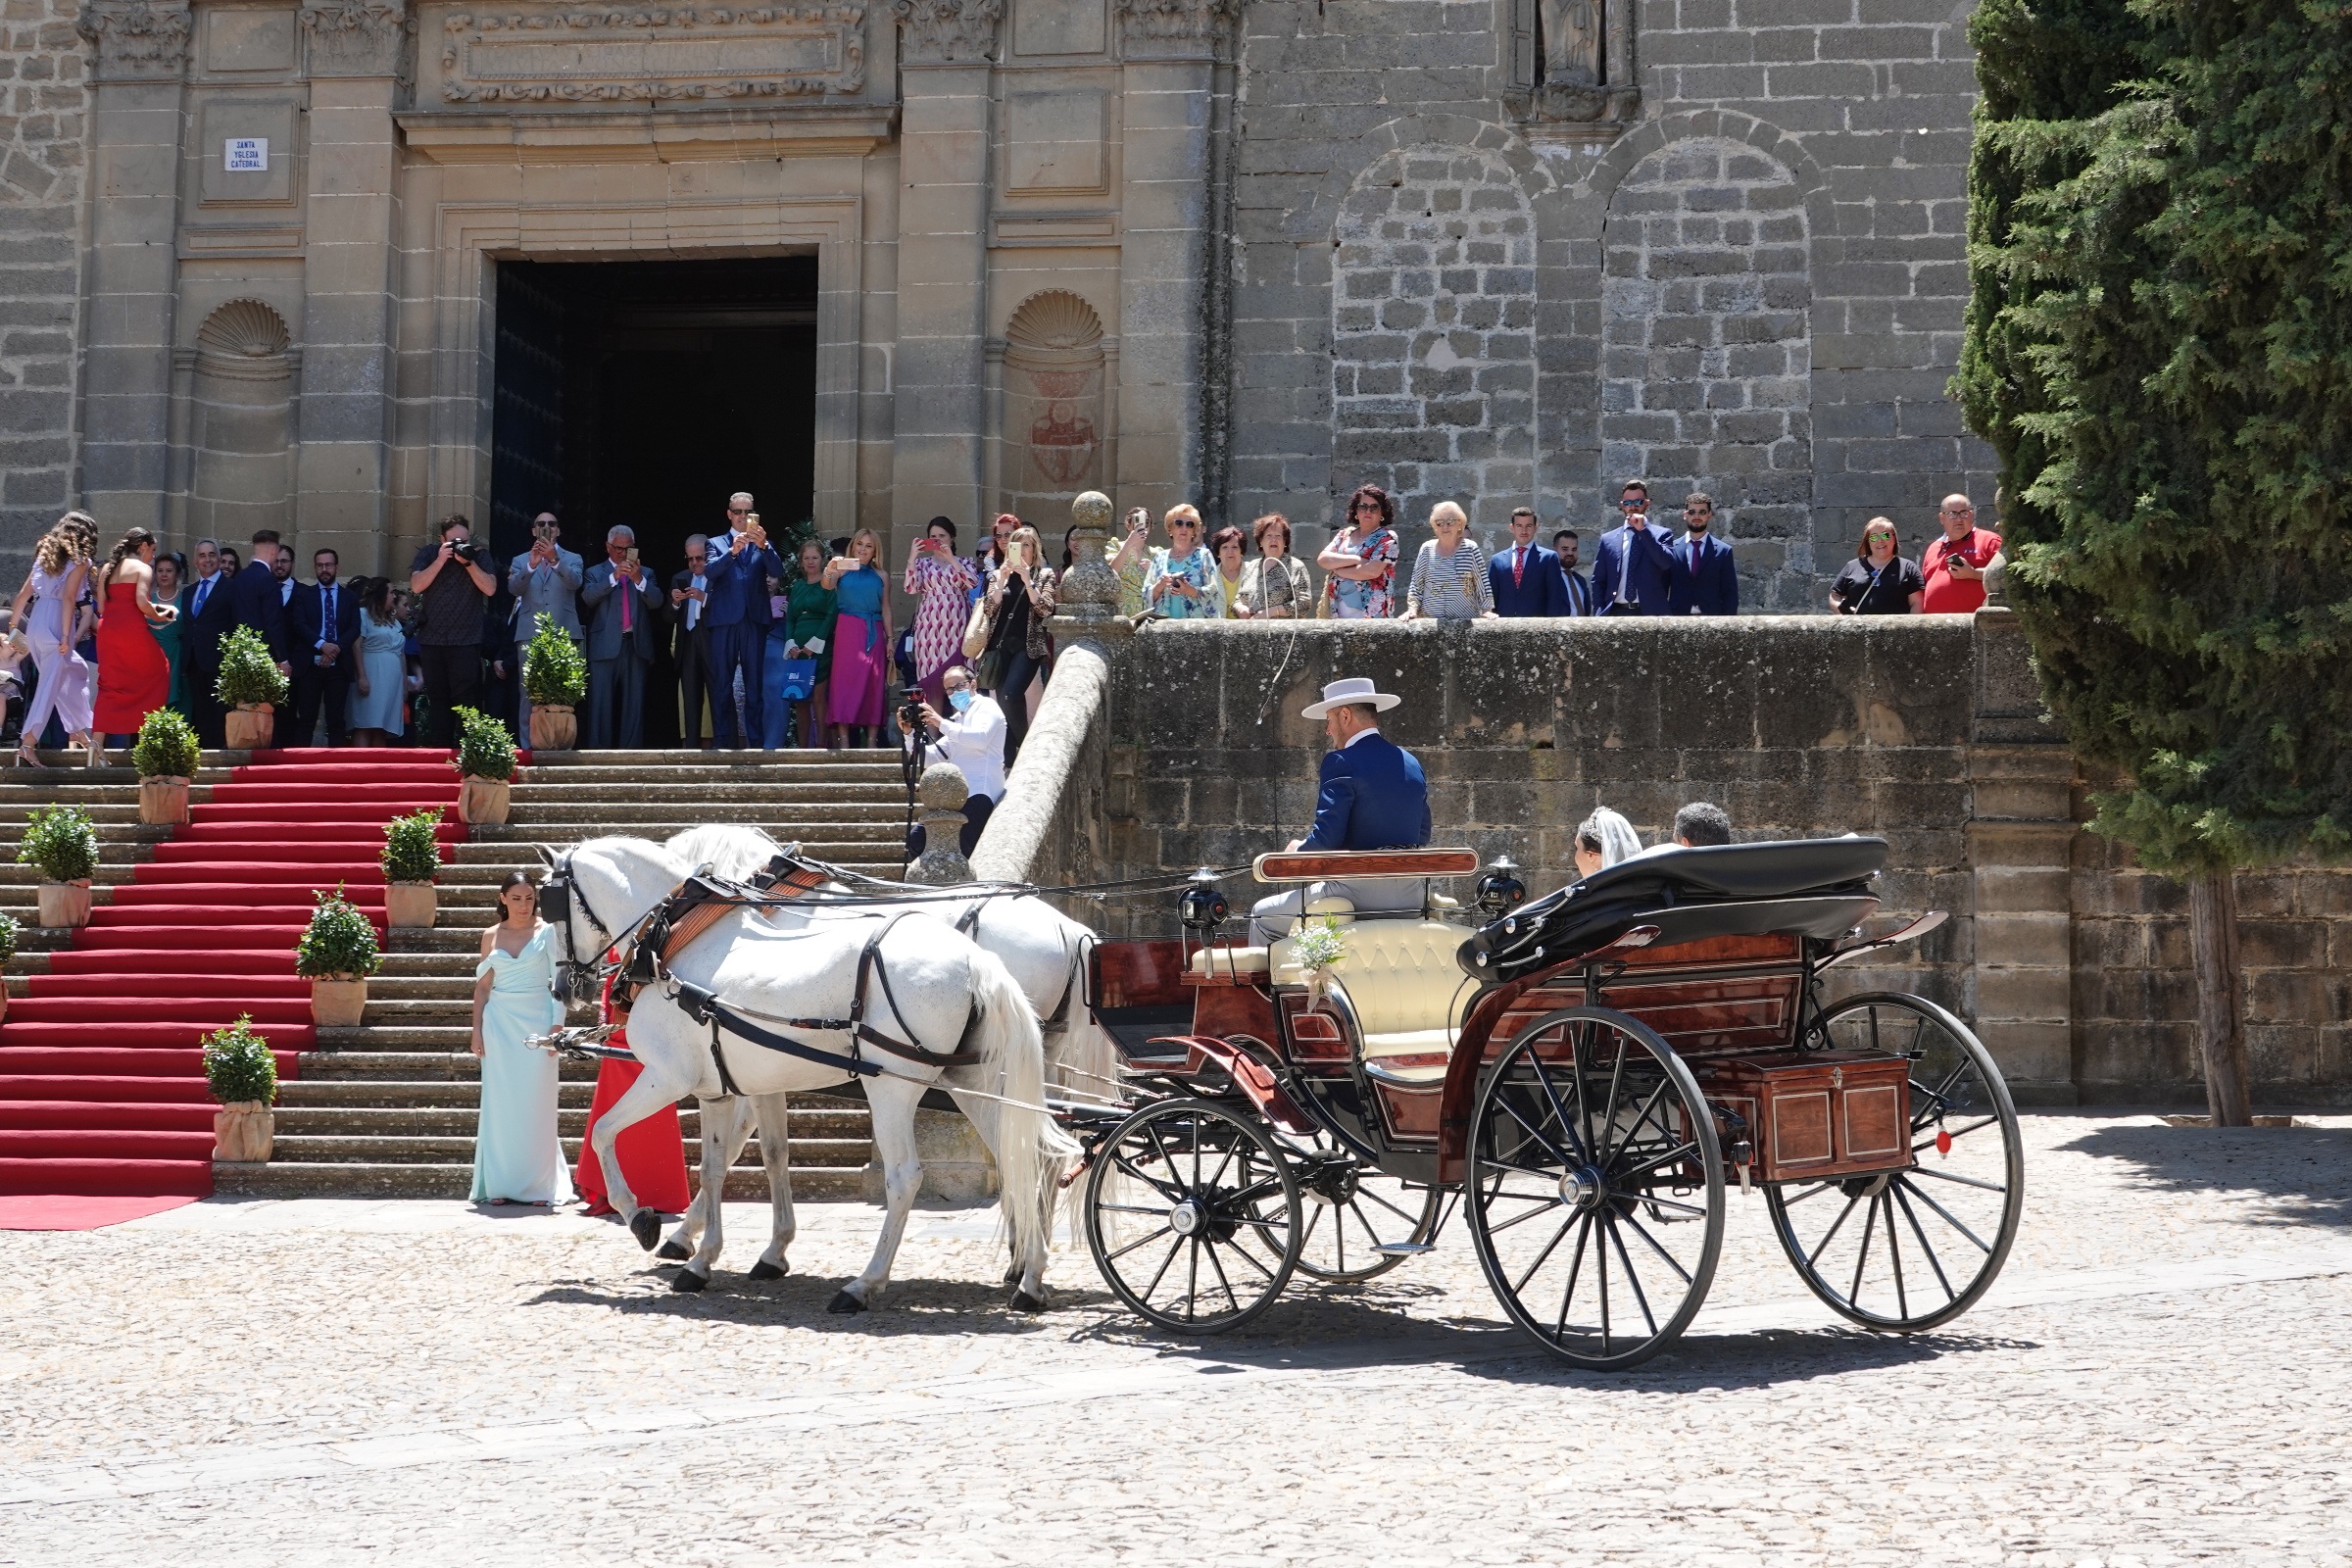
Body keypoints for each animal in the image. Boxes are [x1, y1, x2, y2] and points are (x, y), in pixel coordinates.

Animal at [539, 835, 1077, 1312]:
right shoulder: (731, 1088)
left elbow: (604, 1132)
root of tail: (976, 959)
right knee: (1026, 1154)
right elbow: (729, 1165)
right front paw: (716, 1257)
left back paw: (864, 1284)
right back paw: (1030, 1278)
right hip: (977, 1083)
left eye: (549, 904)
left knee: (906, 1176)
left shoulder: (667, 1076)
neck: (676, 939)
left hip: (892, 1086)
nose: (562, 987)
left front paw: (642, 1218)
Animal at [652, 826, 1118, 1273]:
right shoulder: (765, 1064)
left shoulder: (760, 1058)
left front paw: (686, 1237)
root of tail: (1068, 928)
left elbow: (735, 1144)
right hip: (1035, 1057)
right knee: (1041, 1143)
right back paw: (1025, 1257)